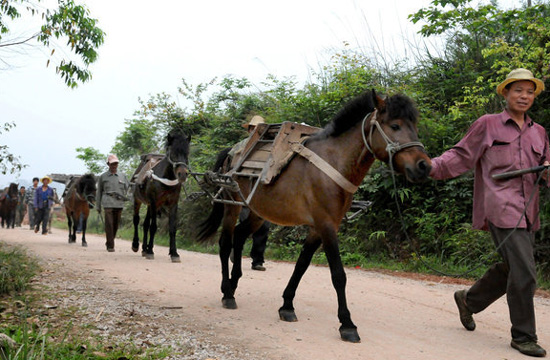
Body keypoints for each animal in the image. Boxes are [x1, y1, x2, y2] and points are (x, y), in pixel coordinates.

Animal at [133, 129, 193, 262]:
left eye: (187, 153)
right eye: (173, 153)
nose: (182, 174)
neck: (166, 178)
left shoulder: (173, 203)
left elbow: (172, 228)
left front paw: (174, 253)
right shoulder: (154, 202)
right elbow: (154, 227)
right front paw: (150, 251)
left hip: (150, 206)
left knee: (145, 224)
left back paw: (144, 249)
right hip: (138, 200)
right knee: (136, 220)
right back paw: (136, 245)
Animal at [196, 90, 434, 344]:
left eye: (414, 126)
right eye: (395, 125)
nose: (424, 166)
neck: (333, 163)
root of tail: (232, 153)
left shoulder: (319, 227)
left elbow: (302, 265)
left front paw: (287, 306)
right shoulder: (326, 225)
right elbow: (338, 275)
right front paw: (347, 324)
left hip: (258, 212)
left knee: (240, 237)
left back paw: (233, 284)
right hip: (232, 206)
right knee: (225, 244)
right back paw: (227, 293)